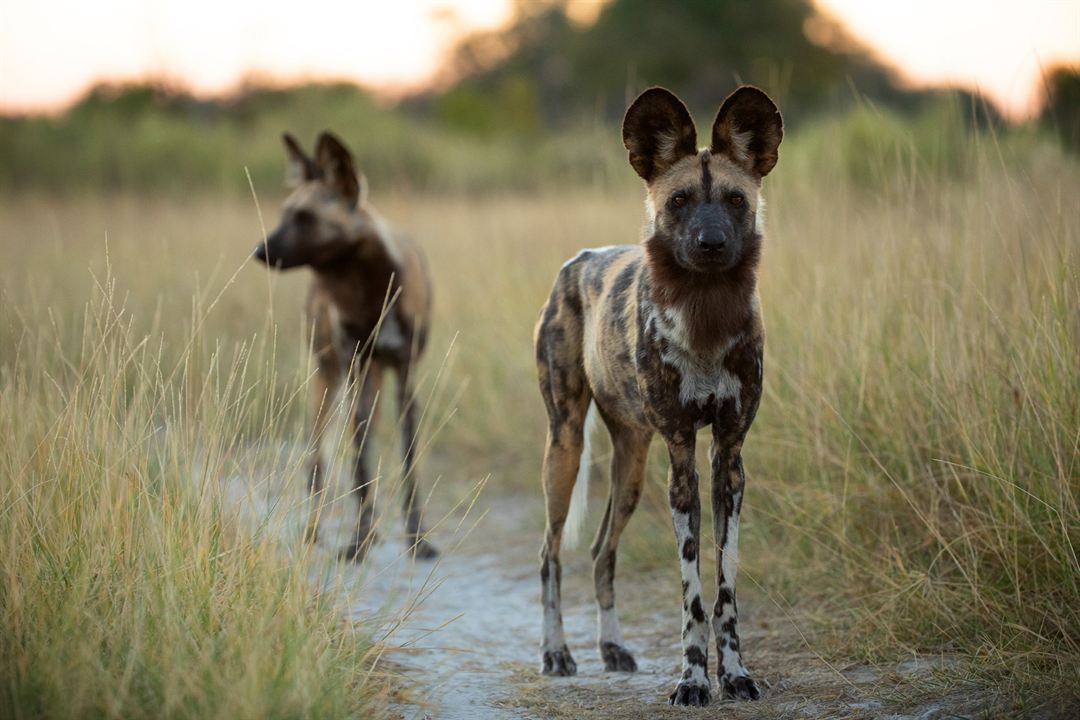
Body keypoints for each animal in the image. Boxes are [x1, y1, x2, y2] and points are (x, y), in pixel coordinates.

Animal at [254, 132, 436, 561]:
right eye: (285, 214)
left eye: (305, 218)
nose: (259, 251)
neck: (371, 292)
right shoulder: (354, 372)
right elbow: (360, 464)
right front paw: (360, 539)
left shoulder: (405, 378)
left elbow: (408, 460)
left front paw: (417, 538)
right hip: (329, 380)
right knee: (317, 462)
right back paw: (313, 531)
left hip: (370, 377)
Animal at [533, 87, 781, 708]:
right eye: (680, 201)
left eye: (736, 200)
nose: (712, 243)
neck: (706, 316)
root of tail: (578, 260)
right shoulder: (682, 458)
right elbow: (692, 594)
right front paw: (693, 680)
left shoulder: (727, 459)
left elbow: (724, 590)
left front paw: (734, 675)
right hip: (564, 449)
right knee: (550, 555)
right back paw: (557, 653)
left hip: (634, 464)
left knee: (601, 552)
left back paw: (612, 648)